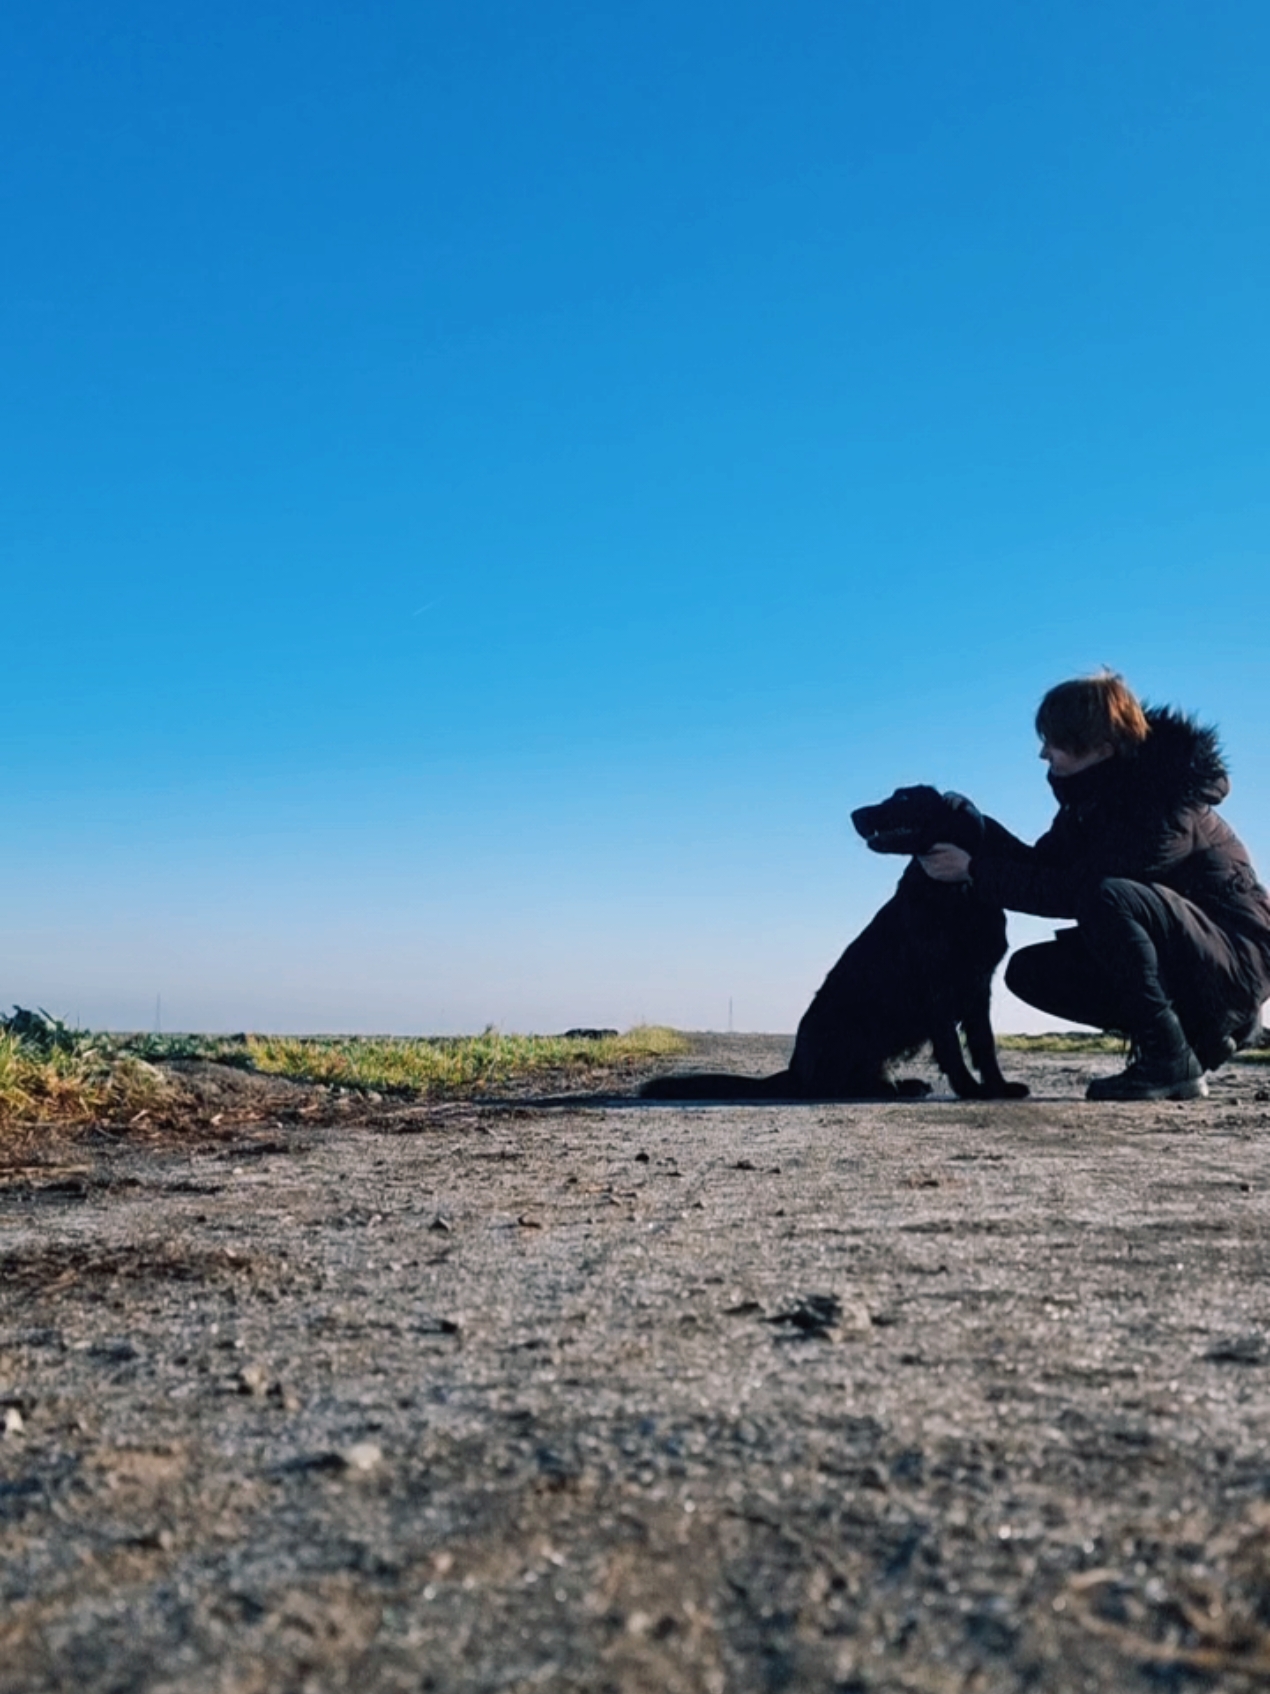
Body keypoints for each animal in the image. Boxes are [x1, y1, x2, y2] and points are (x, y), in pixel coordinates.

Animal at [640, 786, 1029, 1104]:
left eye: (903, 798)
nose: (855, 815)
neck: (955, 891)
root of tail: (794, 1071)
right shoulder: (937, 987)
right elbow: (951, 1048)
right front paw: (972, 1090)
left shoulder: (979, 985)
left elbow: (985, 1045)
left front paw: (998, 1087)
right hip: (853, 1024)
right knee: (832, 1085)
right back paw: (889, 1088)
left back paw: (903, 1085)